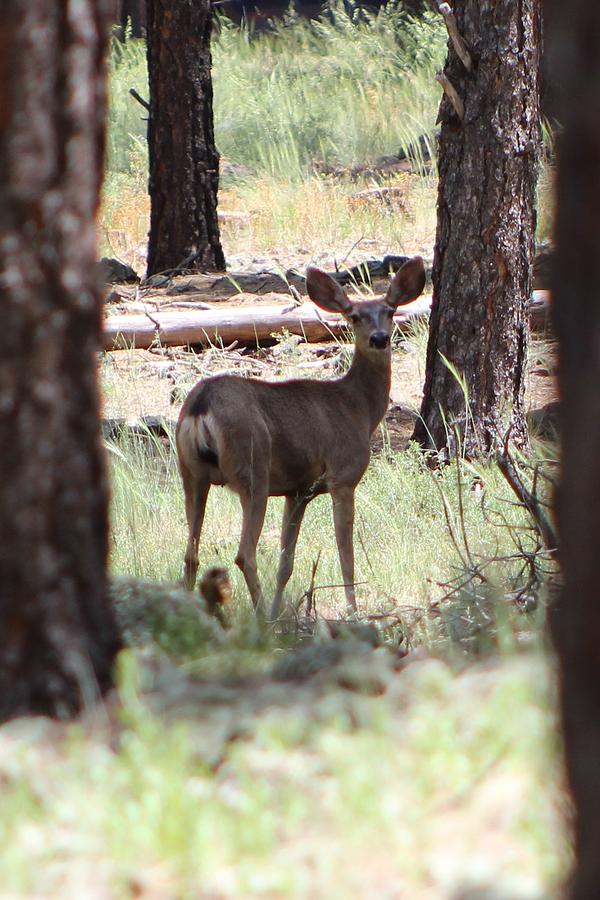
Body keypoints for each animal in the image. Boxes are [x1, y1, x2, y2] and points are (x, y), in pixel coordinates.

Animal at [176, 255, 424, 620]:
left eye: (390, 311)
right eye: (355, 316)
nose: (379, 338)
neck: (358, 408)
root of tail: (201, 405)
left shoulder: (298, 492)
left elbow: (286, 563)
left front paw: (282, 609)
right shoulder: (342, 476)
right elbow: (346, 556)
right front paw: (353, 610)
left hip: (191, 472)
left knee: (191, 553)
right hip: (252, 467)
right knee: (244, 553)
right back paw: (261, 617)